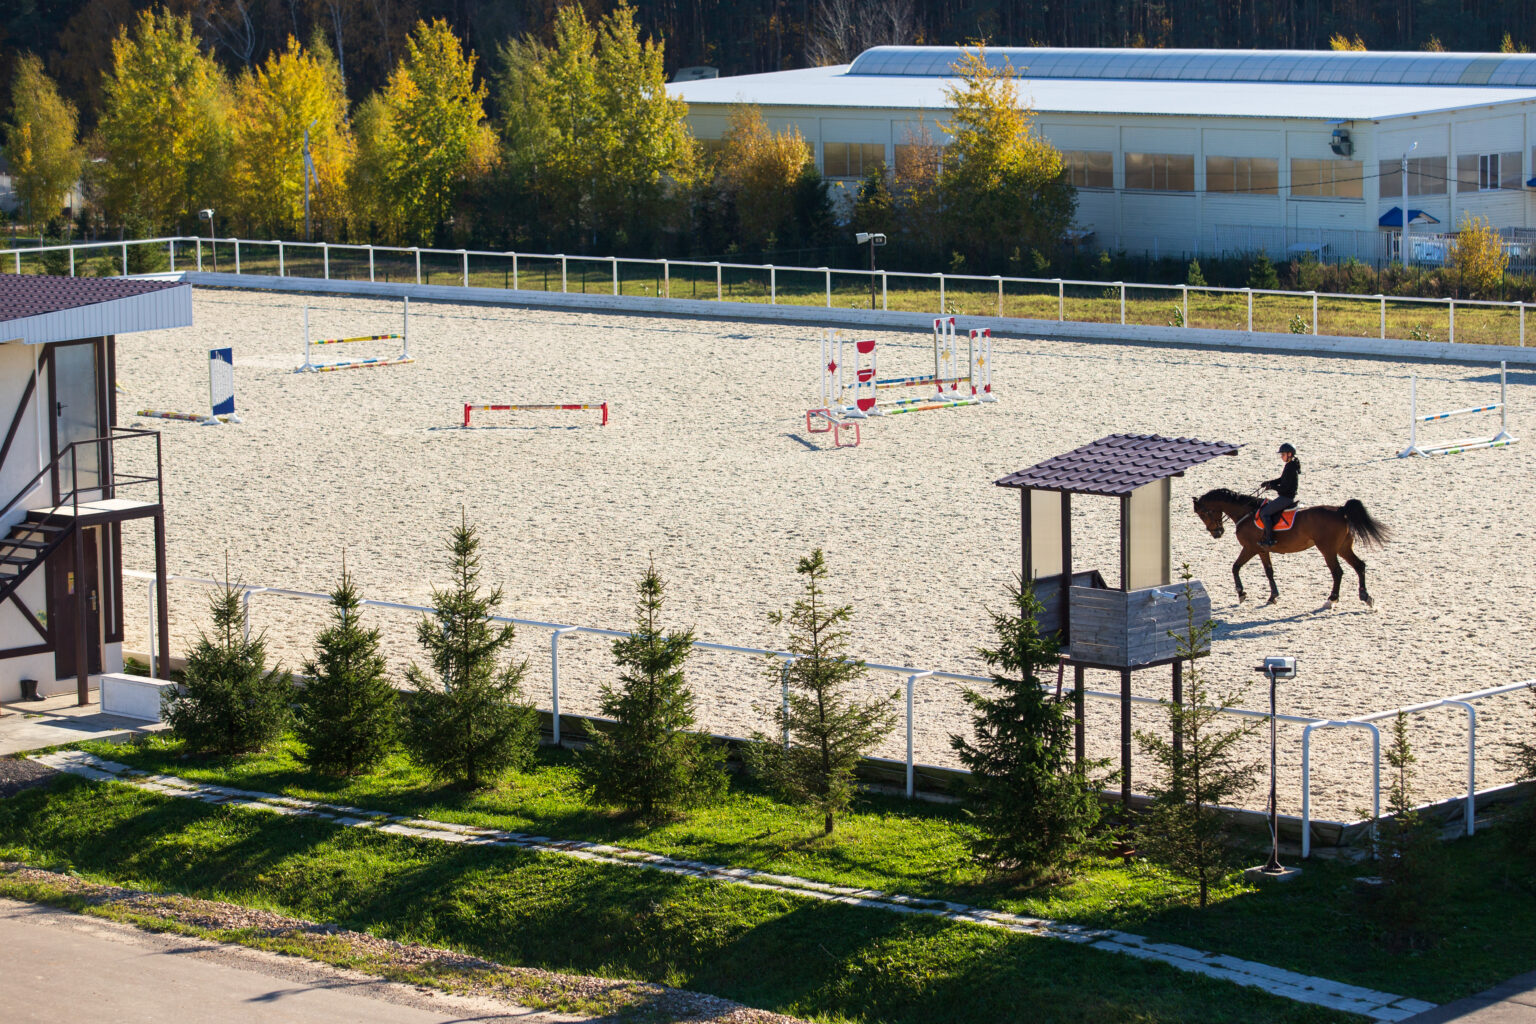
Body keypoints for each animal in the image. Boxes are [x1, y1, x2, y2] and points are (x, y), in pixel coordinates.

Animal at [1191, 488, 1391, 607]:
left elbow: (1235, 567)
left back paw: (1331, 599)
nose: (1216, 533)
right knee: (1359, 566)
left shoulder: (1251, 548)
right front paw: (1273, 596)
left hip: (1328, 550)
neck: (1246, 513)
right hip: (1343, 548)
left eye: (1203, 514)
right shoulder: (1263, 550)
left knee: (1337, 572)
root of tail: (1341, 510)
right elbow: (1269, 572)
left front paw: (1241, 593)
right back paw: (1365, 597)